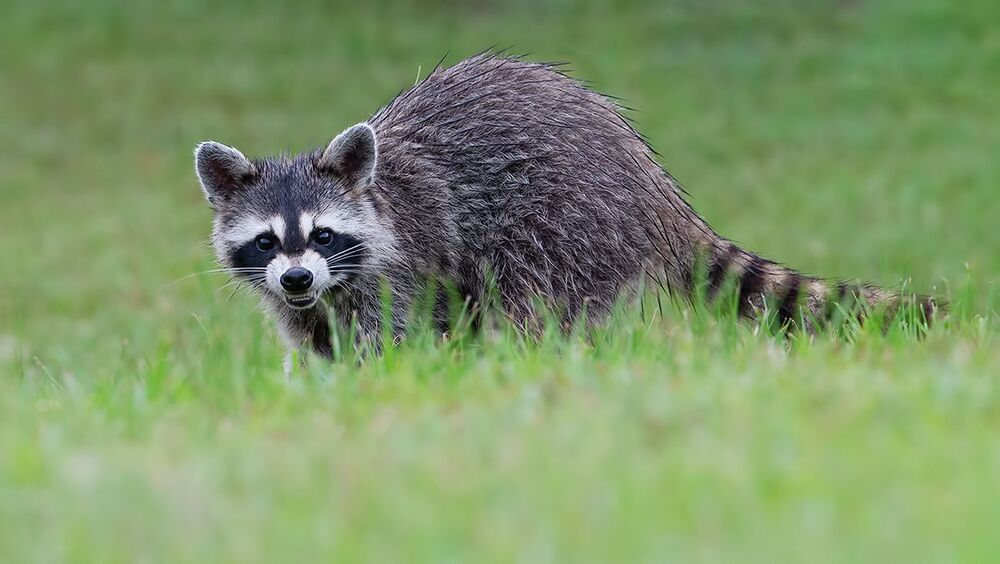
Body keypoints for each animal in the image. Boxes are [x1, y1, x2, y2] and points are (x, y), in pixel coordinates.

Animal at [195, 53, 937, 361]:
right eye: (267, 242)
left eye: (322, 235)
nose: (297, 278)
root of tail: (656, 189)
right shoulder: (302, 301)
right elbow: (317, 341)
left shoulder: (400, 263)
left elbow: (392, 335)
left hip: (567, 223)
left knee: (531, 302)